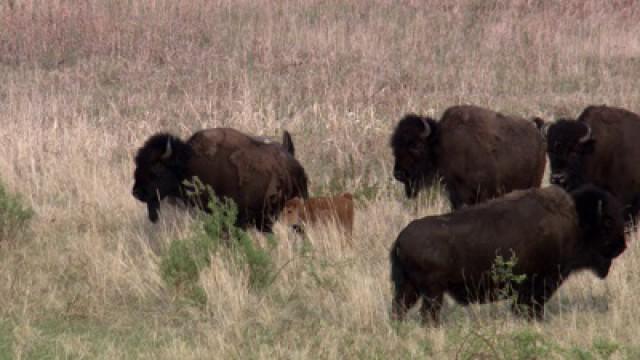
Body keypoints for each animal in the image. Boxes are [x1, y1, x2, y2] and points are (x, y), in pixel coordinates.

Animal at [390, 104, 544, 210]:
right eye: (394, 147)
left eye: (416, 146)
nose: (398, 174)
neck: (439, 143)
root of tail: (537, 132)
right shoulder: (455, 194)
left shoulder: (481, 193)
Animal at [390, 186, 624, 324]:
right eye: (608, 222)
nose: (621, 246)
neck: (577, 220)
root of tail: (400, 240)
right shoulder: (540, 283)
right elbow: (529, 306)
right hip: (432, 293)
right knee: (427, 314)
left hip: (410, 289)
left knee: (399, 309)